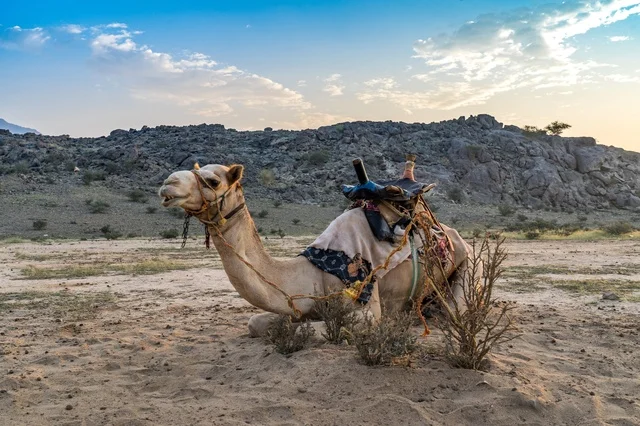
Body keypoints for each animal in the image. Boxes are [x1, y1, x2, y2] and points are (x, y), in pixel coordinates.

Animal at [158, 163, 477, 337]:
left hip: (468, 262)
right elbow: (257, 323)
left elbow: (318, 328)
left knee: (457, 310)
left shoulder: (366, 306)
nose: (167, 184)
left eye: (213, 181)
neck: (313, 272)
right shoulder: (300, 304)